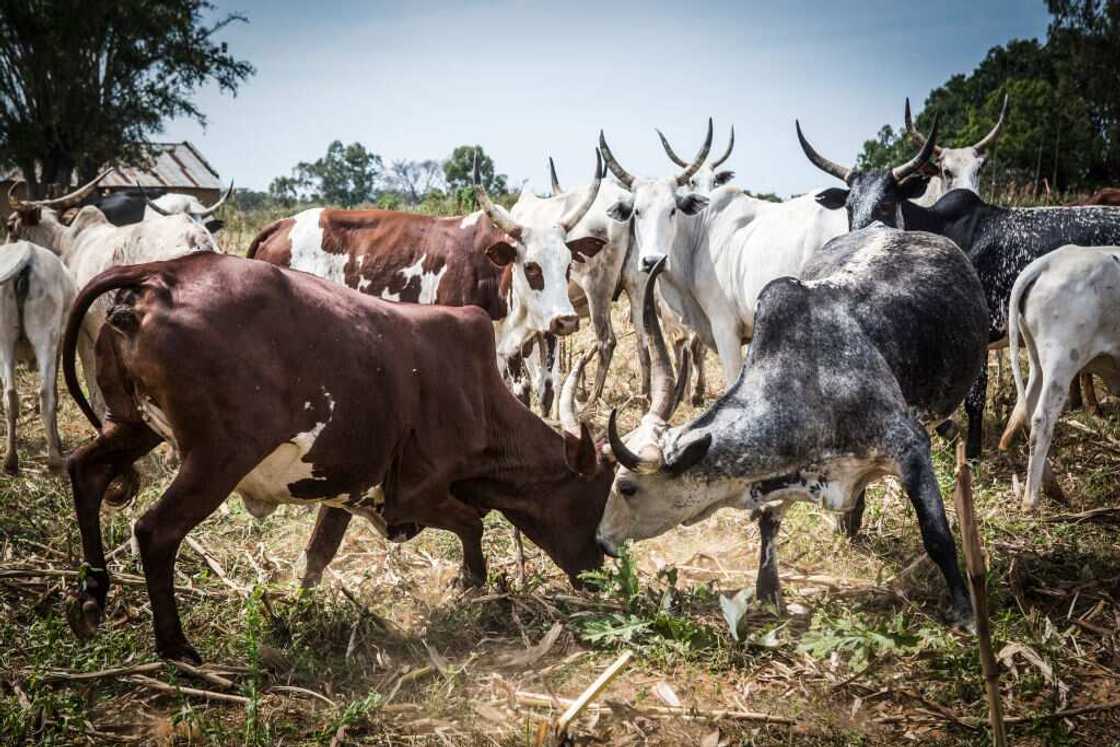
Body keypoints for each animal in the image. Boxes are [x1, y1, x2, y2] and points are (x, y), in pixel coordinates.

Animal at [0, 240, 75, 472]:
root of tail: (28, 253)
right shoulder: (59, 343)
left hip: (4, 340)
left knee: (10, 396)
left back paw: (10, 460)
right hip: (46, 337)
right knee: (45, 394)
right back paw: (54, 458)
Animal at [62, 253, 613, 667]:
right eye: (593, 495)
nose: (599, 567)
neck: (479, 392)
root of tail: (165, 273)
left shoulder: (348, 489)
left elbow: (318, 555)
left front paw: (298, 610)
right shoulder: (416, 494)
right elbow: (473, 524)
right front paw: (469, 582)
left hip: (131, 426)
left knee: (86, 471)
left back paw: (92, 593)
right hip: (218, 458)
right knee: (156, 531)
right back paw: (176, 646)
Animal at [600, 229, 985, 631]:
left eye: (627, 487)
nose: (601, 541)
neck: (810, 384)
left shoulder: (910, 448)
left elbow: (937, 536)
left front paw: (965, 613)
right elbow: (768, 522)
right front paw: (769, 594)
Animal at [999, 245, 1120, 508]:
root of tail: (1049, 261)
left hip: (1038, 362)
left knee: (1025, 410)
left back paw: (1052, 489)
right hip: (1062, 360)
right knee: (1041, 419)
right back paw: (1031, 500)